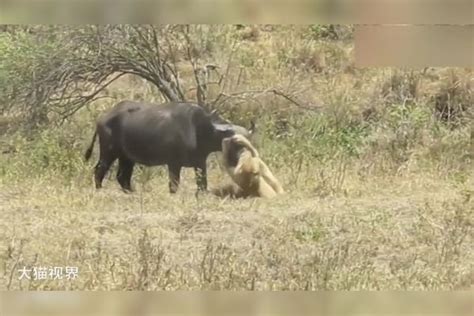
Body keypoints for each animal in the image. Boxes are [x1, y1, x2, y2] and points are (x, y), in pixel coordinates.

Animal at [84, 100, 252, 193]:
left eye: (248, 141)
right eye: (234, 142)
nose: (244, 158)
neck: (198, 130)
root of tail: (103, 118)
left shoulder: (200, 163)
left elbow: (202, 184)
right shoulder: (173, 164)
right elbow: (174, 185)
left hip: (127, 158)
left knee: (122, 177)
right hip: (108, 152)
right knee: (99, 170)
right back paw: (99, 189)